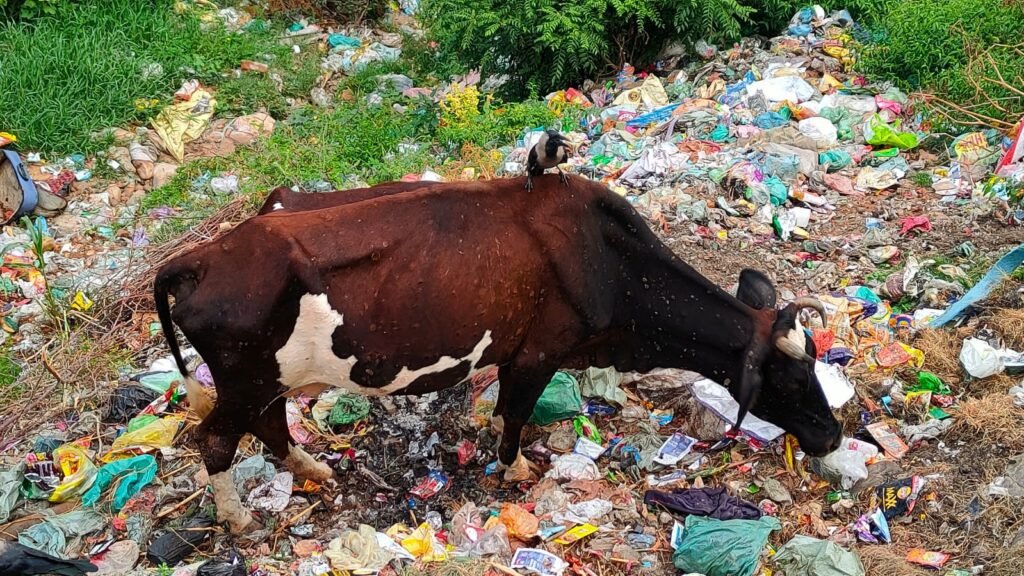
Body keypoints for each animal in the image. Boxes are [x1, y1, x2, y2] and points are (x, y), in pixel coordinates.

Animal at [154, 174, 843, 533]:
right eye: (789, 378)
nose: (832, 435)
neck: (612, 264)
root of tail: (200, 257)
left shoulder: (521, 355)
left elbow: (504, 409)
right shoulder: (539, 353)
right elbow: (515, 414)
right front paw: (512, 470)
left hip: (264, 380)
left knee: (269, 425)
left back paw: (313, 470)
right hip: (245, 378)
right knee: (215, 441)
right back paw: (238, 518)